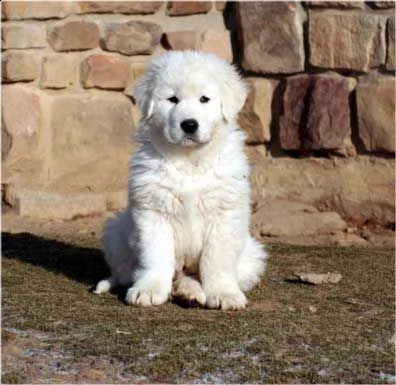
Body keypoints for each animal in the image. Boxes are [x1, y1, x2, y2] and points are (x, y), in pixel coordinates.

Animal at [94, 51, 268, 308]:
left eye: (204, 99)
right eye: (172, 99)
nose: (189, 124)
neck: (189, 160)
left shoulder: (224, 213)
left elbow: (216, 260)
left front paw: (224, 293)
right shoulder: (153, 209)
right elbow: (155, 255)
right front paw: (148, 289)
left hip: (252, 254)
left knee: (196, 276)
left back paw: (191, 292)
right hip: (115, 232)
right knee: (128, 272)